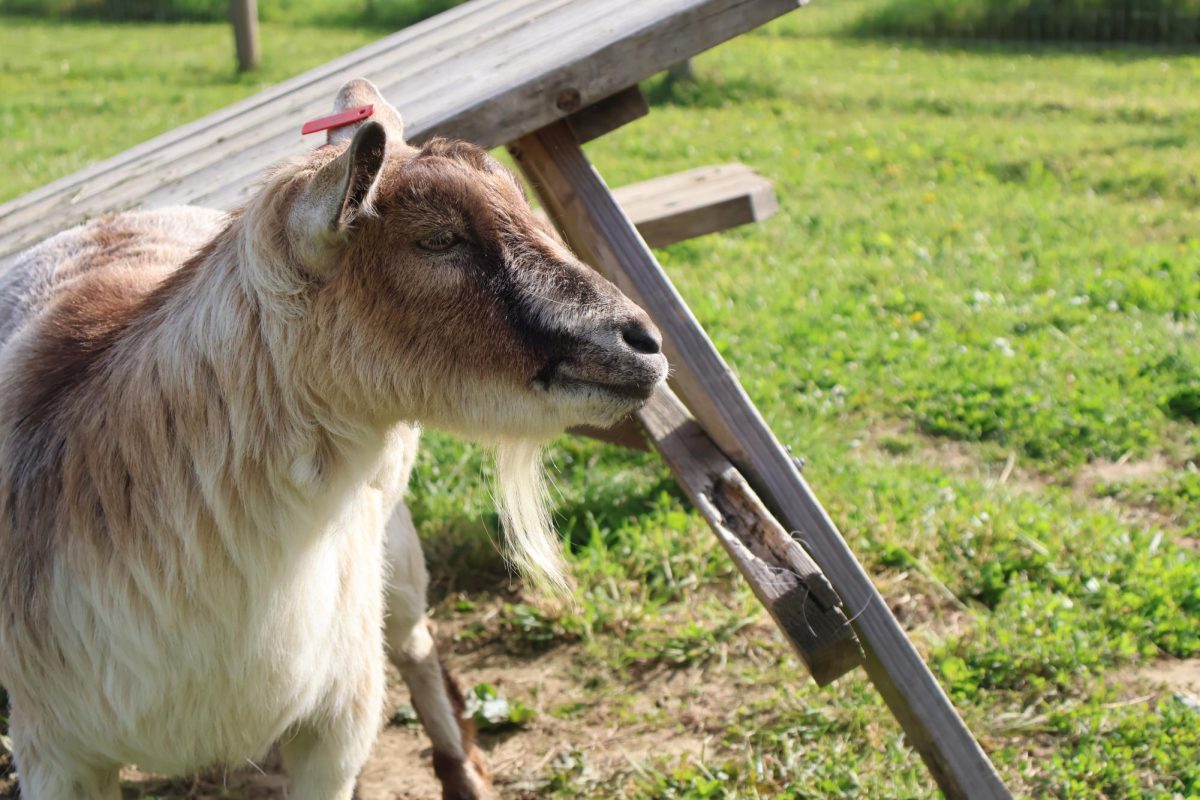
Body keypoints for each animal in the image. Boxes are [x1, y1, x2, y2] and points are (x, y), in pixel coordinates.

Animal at [0, 78, 667, 800]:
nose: (645, 343)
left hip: (392, 562)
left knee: (415, 645)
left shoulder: (338, 721)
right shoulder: (55, 752)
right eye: (439, 239)